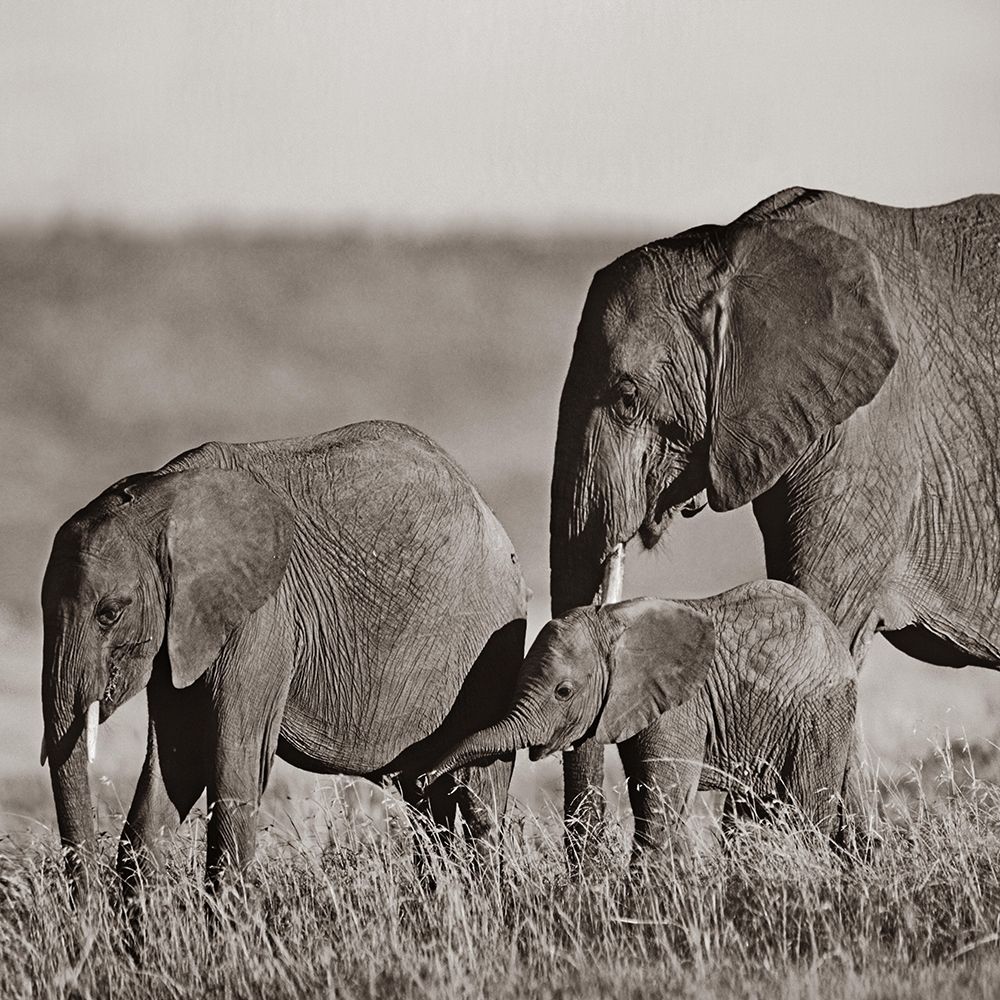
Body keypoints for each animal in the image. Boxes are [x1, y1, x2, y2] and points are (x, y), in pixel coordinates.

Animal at [39, 420, 527, 894]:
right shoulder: (179, 633)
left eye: (109, 613)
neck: (163, 498)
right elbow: (176, 763)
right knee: (427, 800)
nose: (87, 910)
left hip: (491, 647)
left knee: (477, 795)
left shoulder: (264, 617)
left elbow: (235, 765)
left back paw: (483, 896)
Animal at [420, 580, 861, 859]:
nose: (426, 777)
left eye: (563, 691)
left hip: (819, 715)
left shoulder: (680, 710)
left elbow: (660, 805)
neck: (615, 620)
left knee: (804, 812)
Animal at [549, 185, 1000, 860]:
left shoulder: (870, 443)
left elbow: (820, 618)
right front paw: (852, 858)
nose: (589, 861)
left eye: (628, 399)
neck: (732, 251)